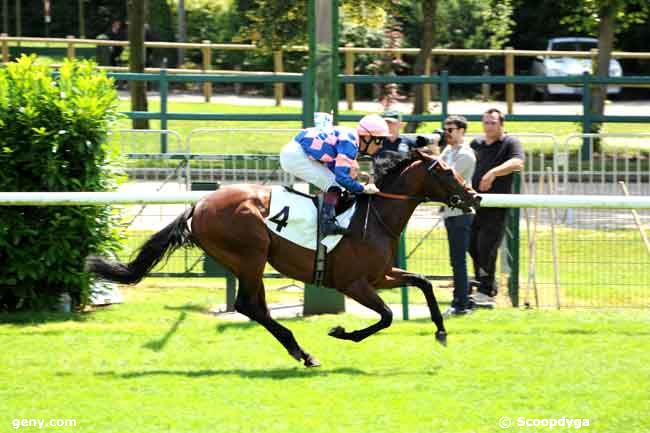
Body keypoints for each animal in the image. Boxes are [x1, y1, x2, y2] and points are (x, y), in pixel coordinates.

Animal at [88, 148, 478, 364]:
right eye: (446, 171)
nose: (474, 196)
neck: (375, 216)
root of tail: (198, 205)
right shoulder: (353, 283)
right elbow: (386, 316)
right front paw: (342, 332)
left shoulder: (381, 275)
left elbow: (424, 283)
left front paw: (441, 332)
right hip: (251, 255)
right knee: (249, 305)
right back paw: (302, 352)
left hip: (249, 261)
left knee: (254, 307)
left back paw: (300, 352)